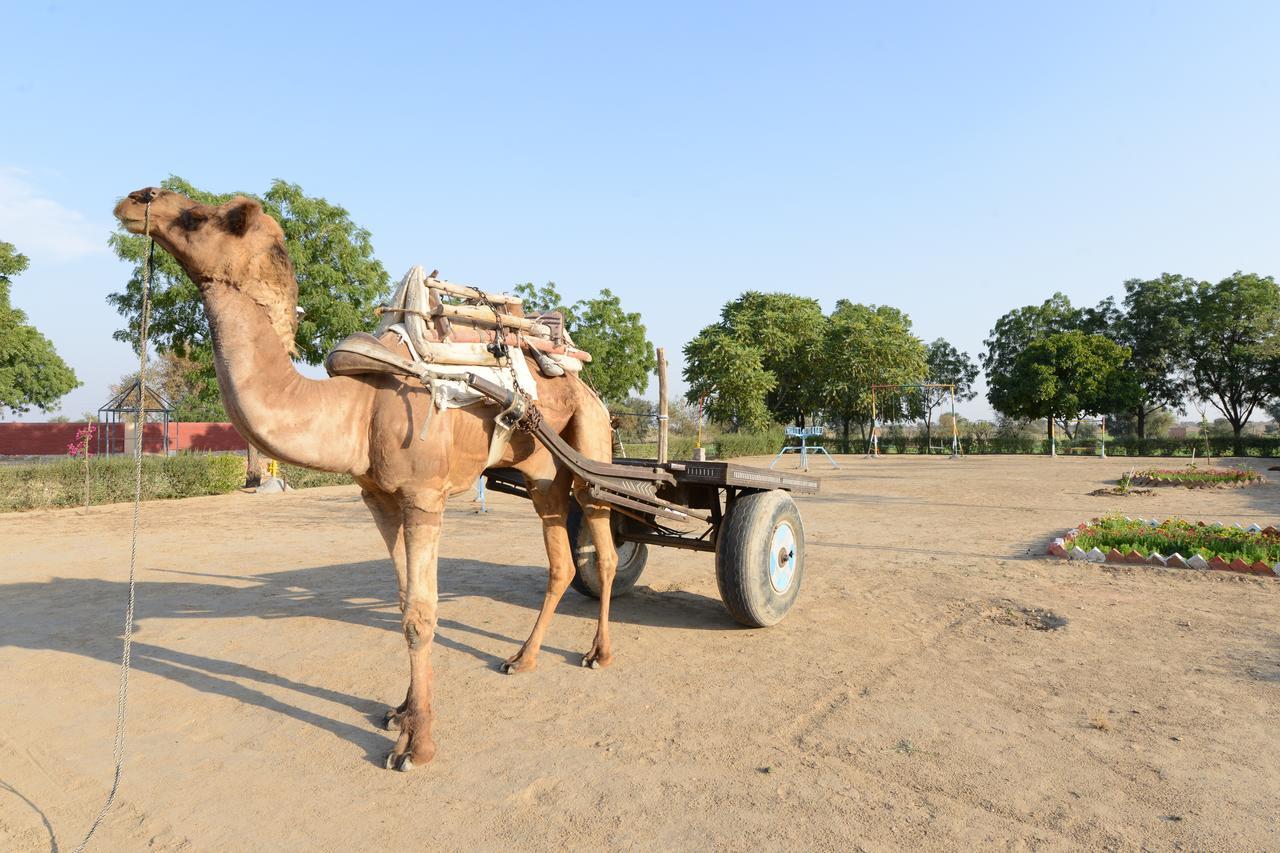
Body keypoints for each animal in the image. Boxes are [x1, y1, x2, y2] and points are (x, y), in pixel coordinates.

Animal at [112, 188, 622, 768]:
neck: (357, 406)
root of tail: (584, 381)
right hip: (542, 476)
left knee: (602, 539)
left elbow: (421, 613)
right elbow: (401, 602)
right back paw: (522, 659)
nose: (136, 199)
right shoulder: (378, 498)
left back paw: (598, 652)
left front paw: (417, 747)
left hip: (590, 438)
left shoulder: (424, 496)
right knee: (560, 559)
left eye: (199, 216)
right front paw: (399, 714)